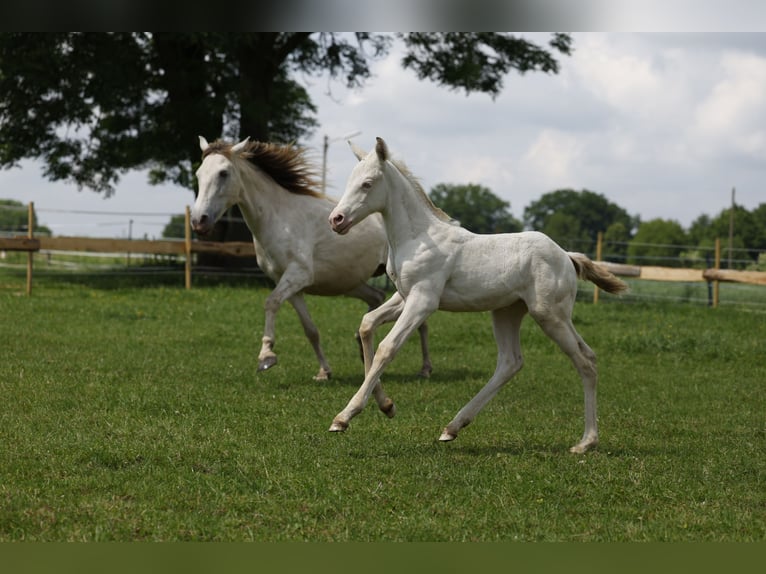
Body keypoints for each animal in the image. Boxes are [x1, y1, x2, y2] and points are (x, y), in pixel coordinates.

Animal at [192, 136, 432, 382]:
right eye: (199, 174)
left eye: (223, 173)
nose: (199, 221)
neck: (279, 218)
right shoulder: (291, 285)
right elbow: (310, 330)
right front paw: (324, 371)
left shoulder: (298, 275)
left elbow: (271, 302)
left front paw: (266, 357)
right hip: (351, 282)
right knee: (376, 297)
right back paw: (362, 347)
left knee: (419, 322)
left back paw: (425, 368)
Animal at [328, 137, 628, 452]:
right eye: (350, 180)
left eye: (367, 184)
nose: (336, 220)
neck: (417, 238)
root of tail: (567, 256)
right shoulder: (404, 297)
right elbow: (366, 325)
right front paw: (387, 406)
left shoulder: (423, 300)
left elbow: (387, 347)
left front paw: (344, 417)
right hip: (508, 312)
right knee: (512, 362)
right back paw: (452, 427)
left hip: (550, 315)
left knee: (584, 361)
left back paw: (586, 442)